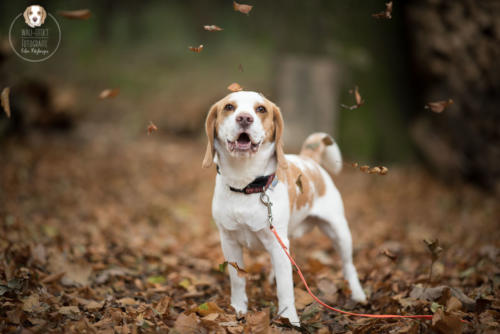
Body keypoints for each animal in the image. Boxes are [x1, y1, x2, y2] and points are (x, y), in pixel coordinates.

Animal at [203, 90, 368, 324]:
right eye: (229, 107)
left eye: (261, 109)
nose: (244, 118)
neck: (246, 185)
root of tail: (309, 159)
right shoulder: (229, 242)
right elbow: (238, 280)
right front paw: (238, 309)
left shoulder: (276, 244)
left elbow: (285, 288)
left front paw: (290, 319)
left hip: (339, 232)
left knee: (348, 266)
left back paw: (358, 294)